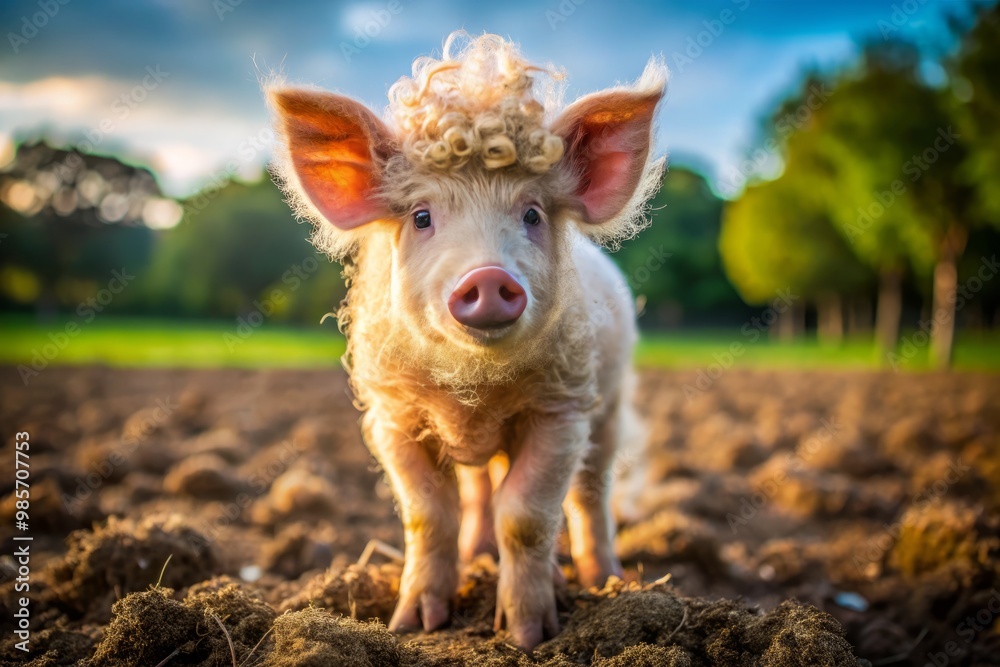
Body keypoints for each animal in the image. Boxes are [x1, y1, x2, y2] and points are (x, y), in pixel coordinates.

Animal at [268, 32, 665, 651]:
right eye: (421, 216)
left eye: (532, 214)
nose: (487, 276)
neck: (474, 392)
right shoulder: (392, 415)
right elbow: (428, 514)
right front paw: (413, 624)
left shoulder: (562, 409)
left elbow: (526, 515)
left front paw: (526, 635)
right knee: (480, 489)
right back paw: (478, 555)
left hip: (611, 404)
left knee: (590, 492)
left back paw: (606, 582)